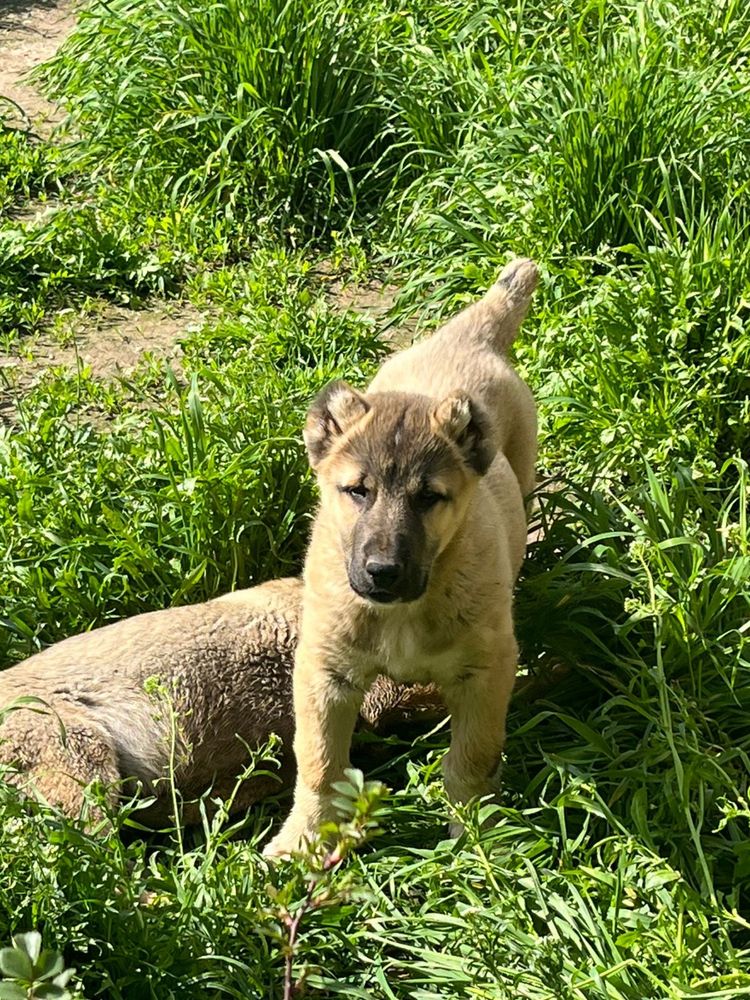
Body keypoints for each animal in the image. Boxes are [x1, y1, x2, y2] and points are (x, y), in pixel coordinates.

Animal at [266, 254, 540, 856]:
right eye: (357, 491)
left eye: (428, 498)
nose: (383, 573)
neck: (406, 610)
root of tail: (469, 337)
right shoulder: (325, 672)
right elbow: (319, 762)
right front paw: (304, 837)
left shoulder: (486, 671)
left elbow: (471, 758)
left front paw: (476, 835)